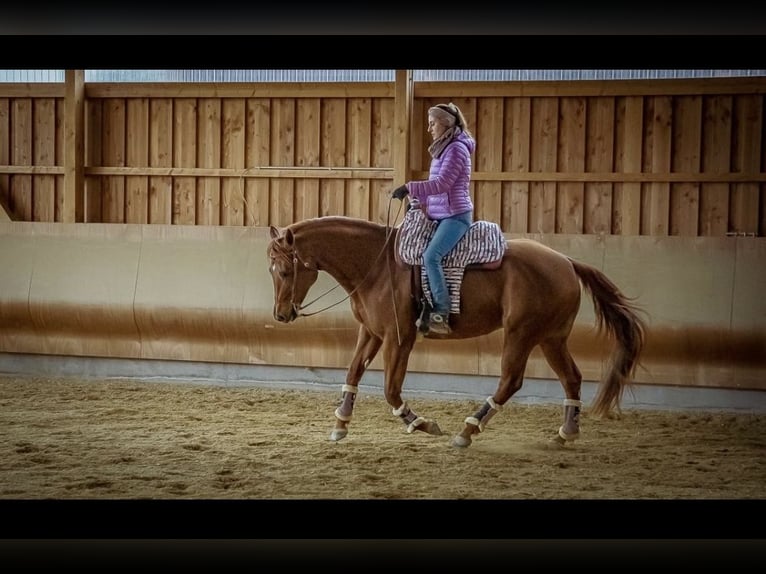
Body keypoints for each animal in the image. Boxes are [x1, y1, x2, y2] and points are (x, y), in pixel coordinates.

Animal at [267, 208, 646, 448]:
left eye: (284, 270)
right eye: (272, 270)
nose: (281, 315)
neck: (376, 266)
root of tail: (566, 261)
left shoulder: (398, 339)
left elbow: (391, 389)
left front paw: (420, 423)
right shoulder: (371, 333)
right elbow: (353, 373)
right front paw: (340, 424)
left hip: (521, 334)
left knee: (511, 380)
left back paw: (468, 430)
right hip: (551, 337)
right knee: (572, 377)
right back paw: (565, 433)